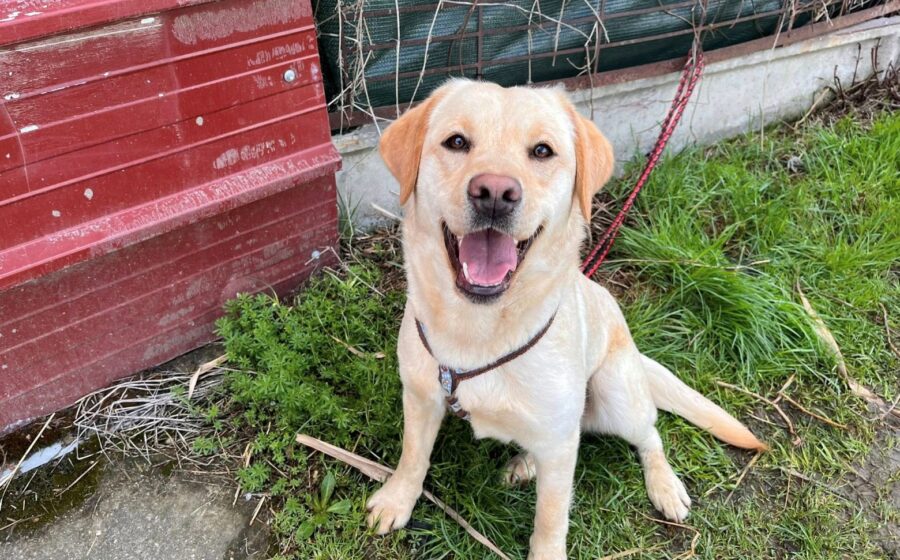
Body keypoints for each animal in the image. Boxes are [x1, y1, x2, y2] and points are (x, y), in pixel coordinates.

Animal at [365, 79, 766, 559]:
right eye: (457, 142)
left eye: (542, 151)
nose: (494, 193)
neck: (479, 331)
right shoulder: (422, 396)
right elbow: (412, 456)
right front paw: (397, 499)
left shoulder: (559, 445)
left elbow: (551, 518)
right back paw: (525, 464)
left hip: (616, 391)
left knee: (649, 434)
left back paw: (665, 486)